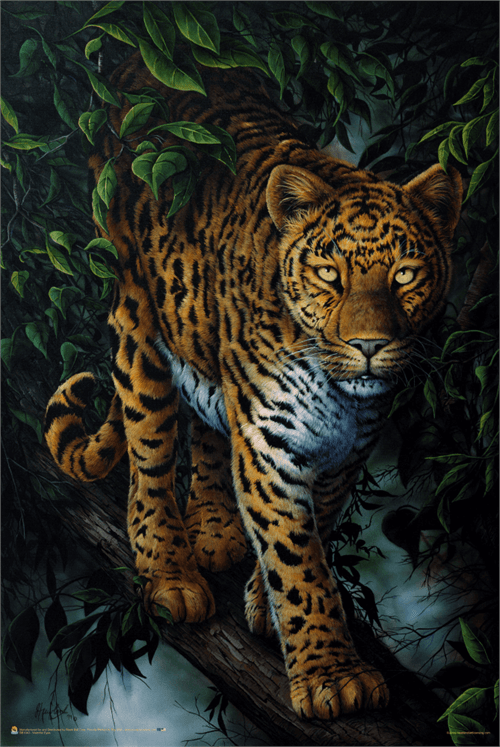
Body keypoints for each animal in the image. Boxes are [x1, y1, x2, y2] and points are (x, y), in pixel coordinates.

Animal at [45, 51, 462, 720]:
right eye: (329, 273)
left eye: (405, 275)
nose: (370, 346)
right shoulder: (270, 439)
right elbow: (299, 562)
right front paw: (331, 677)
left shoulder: (351, 446)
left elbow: (316, 523)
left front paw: (266, 606)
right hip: (136, 320)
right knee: (150, 449)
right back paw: (171, 576)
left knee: (209, 421)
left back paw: (215, 528)